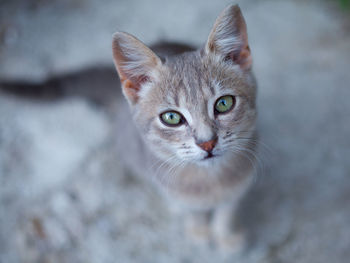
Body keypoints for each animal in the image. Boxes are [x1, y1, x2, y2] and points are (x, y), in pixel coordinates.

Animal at [111, 4, 258, 252]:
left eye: (224, 103)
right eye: (171, 117)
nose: (207, 142)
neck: (210, 180)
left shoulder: (242, 182)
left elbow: (227, 209)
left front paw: (224, 234)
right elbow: (191, 209)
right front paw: (198, 230)